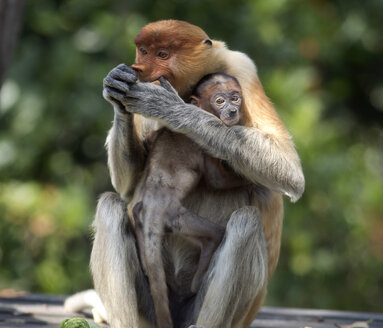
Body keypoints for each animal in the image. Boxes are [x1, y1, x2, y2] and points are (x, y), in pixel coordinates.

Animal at [132, 73, 246, 326]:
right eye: (220, 101)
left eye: (235, 98)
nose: (233, 110)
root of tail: (154, 207)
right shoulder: (205, 142)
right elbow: (216, 180)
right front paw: (250, 181)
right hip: (176, 217)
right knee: (214, 235)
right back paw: (196, 281)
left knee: (135, 212)